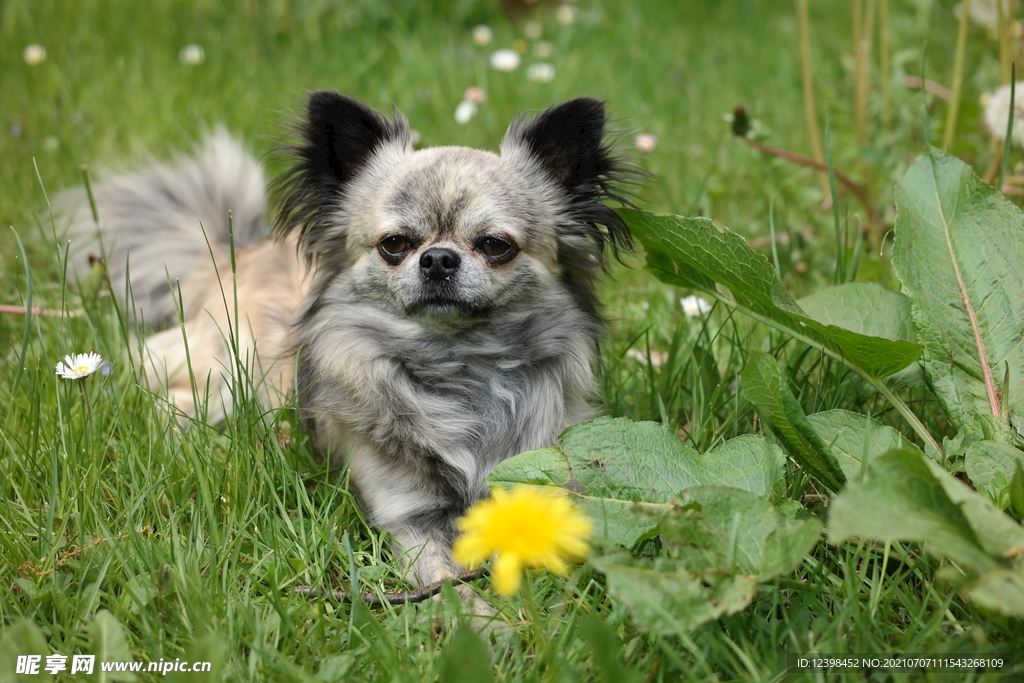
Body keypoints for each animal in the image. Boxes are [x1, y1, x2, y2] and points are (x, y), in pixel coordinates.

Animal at [59, 93, 634, 593]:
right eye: (395, 245)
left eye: (496, 246)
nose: (438, 259)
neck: (458, 370)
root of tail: (236, 253)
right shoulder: (409, 522)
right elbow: (445, 587)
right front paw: (482, 624)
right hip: (224, 378)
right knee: (169, 398)